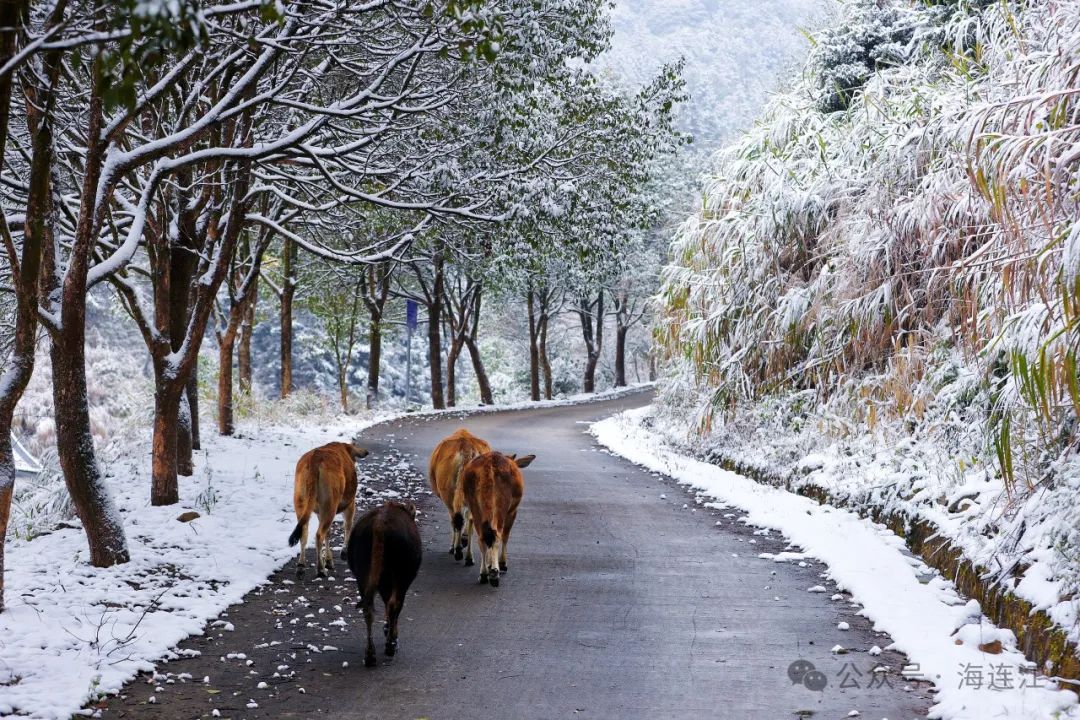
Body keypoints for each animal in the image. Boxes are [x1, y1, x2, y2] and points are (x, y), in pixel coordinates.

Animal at [289, 440, 369, 578]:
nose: (366, 452)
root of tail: (315, 459)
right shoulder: (350, 503)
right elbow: (347, 525)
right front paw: (343, 552)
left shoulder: (319, 512)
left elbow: (329, 532)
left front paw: (329, 560)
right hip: (330, 504)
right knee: (319, 534)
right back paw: (320, 569)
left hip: (301, 500)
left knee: (304, 532)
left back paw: (301, 566)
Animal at [349, 498, 425, 669]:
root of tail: (379, 525)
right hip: (400, 576)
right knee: (393, 604)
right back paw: (390, 645)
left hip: (364, 574)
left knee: (368, 608)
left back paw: (370, 655)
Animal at [427, 427, 492, 561]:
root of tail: (467, 447)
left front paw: (454, 547)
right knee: (470, 519)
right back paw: (468, 555)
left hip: (449, 493)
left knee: (456, 518)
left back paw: (457, 550)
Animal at [460, 453, 535, 587]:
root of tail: (489, 468)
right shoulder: (512, 511)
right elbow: (505, 536)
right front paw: (502, 564)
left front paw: (490, 564)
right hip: (502, 504)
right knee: (497, 534)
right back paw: (494, 573)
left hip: (475, 503)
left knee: (483, 536)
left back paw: (484, 573)